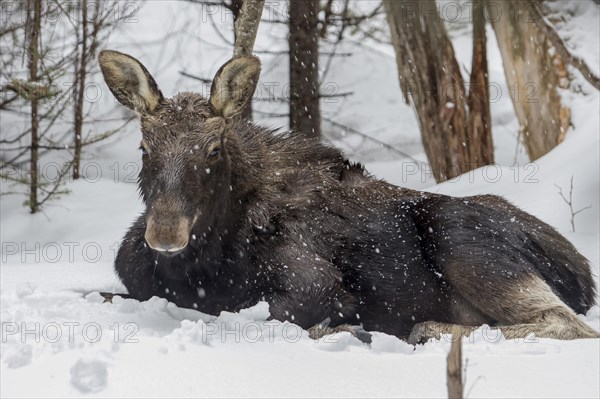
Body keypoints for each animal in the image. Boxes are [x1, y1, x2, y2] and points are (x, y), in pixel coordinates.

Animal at [99, 49, 600, 344]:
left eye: (214, 149)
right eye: (145, 148)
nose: (164, 233)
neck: (203, 260)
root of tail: (583, 274)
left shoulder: (314, 283)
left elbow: (279, 317)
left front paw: (347, 327)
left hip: (458, 236)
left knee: (567, 322)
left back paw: (426, 328)